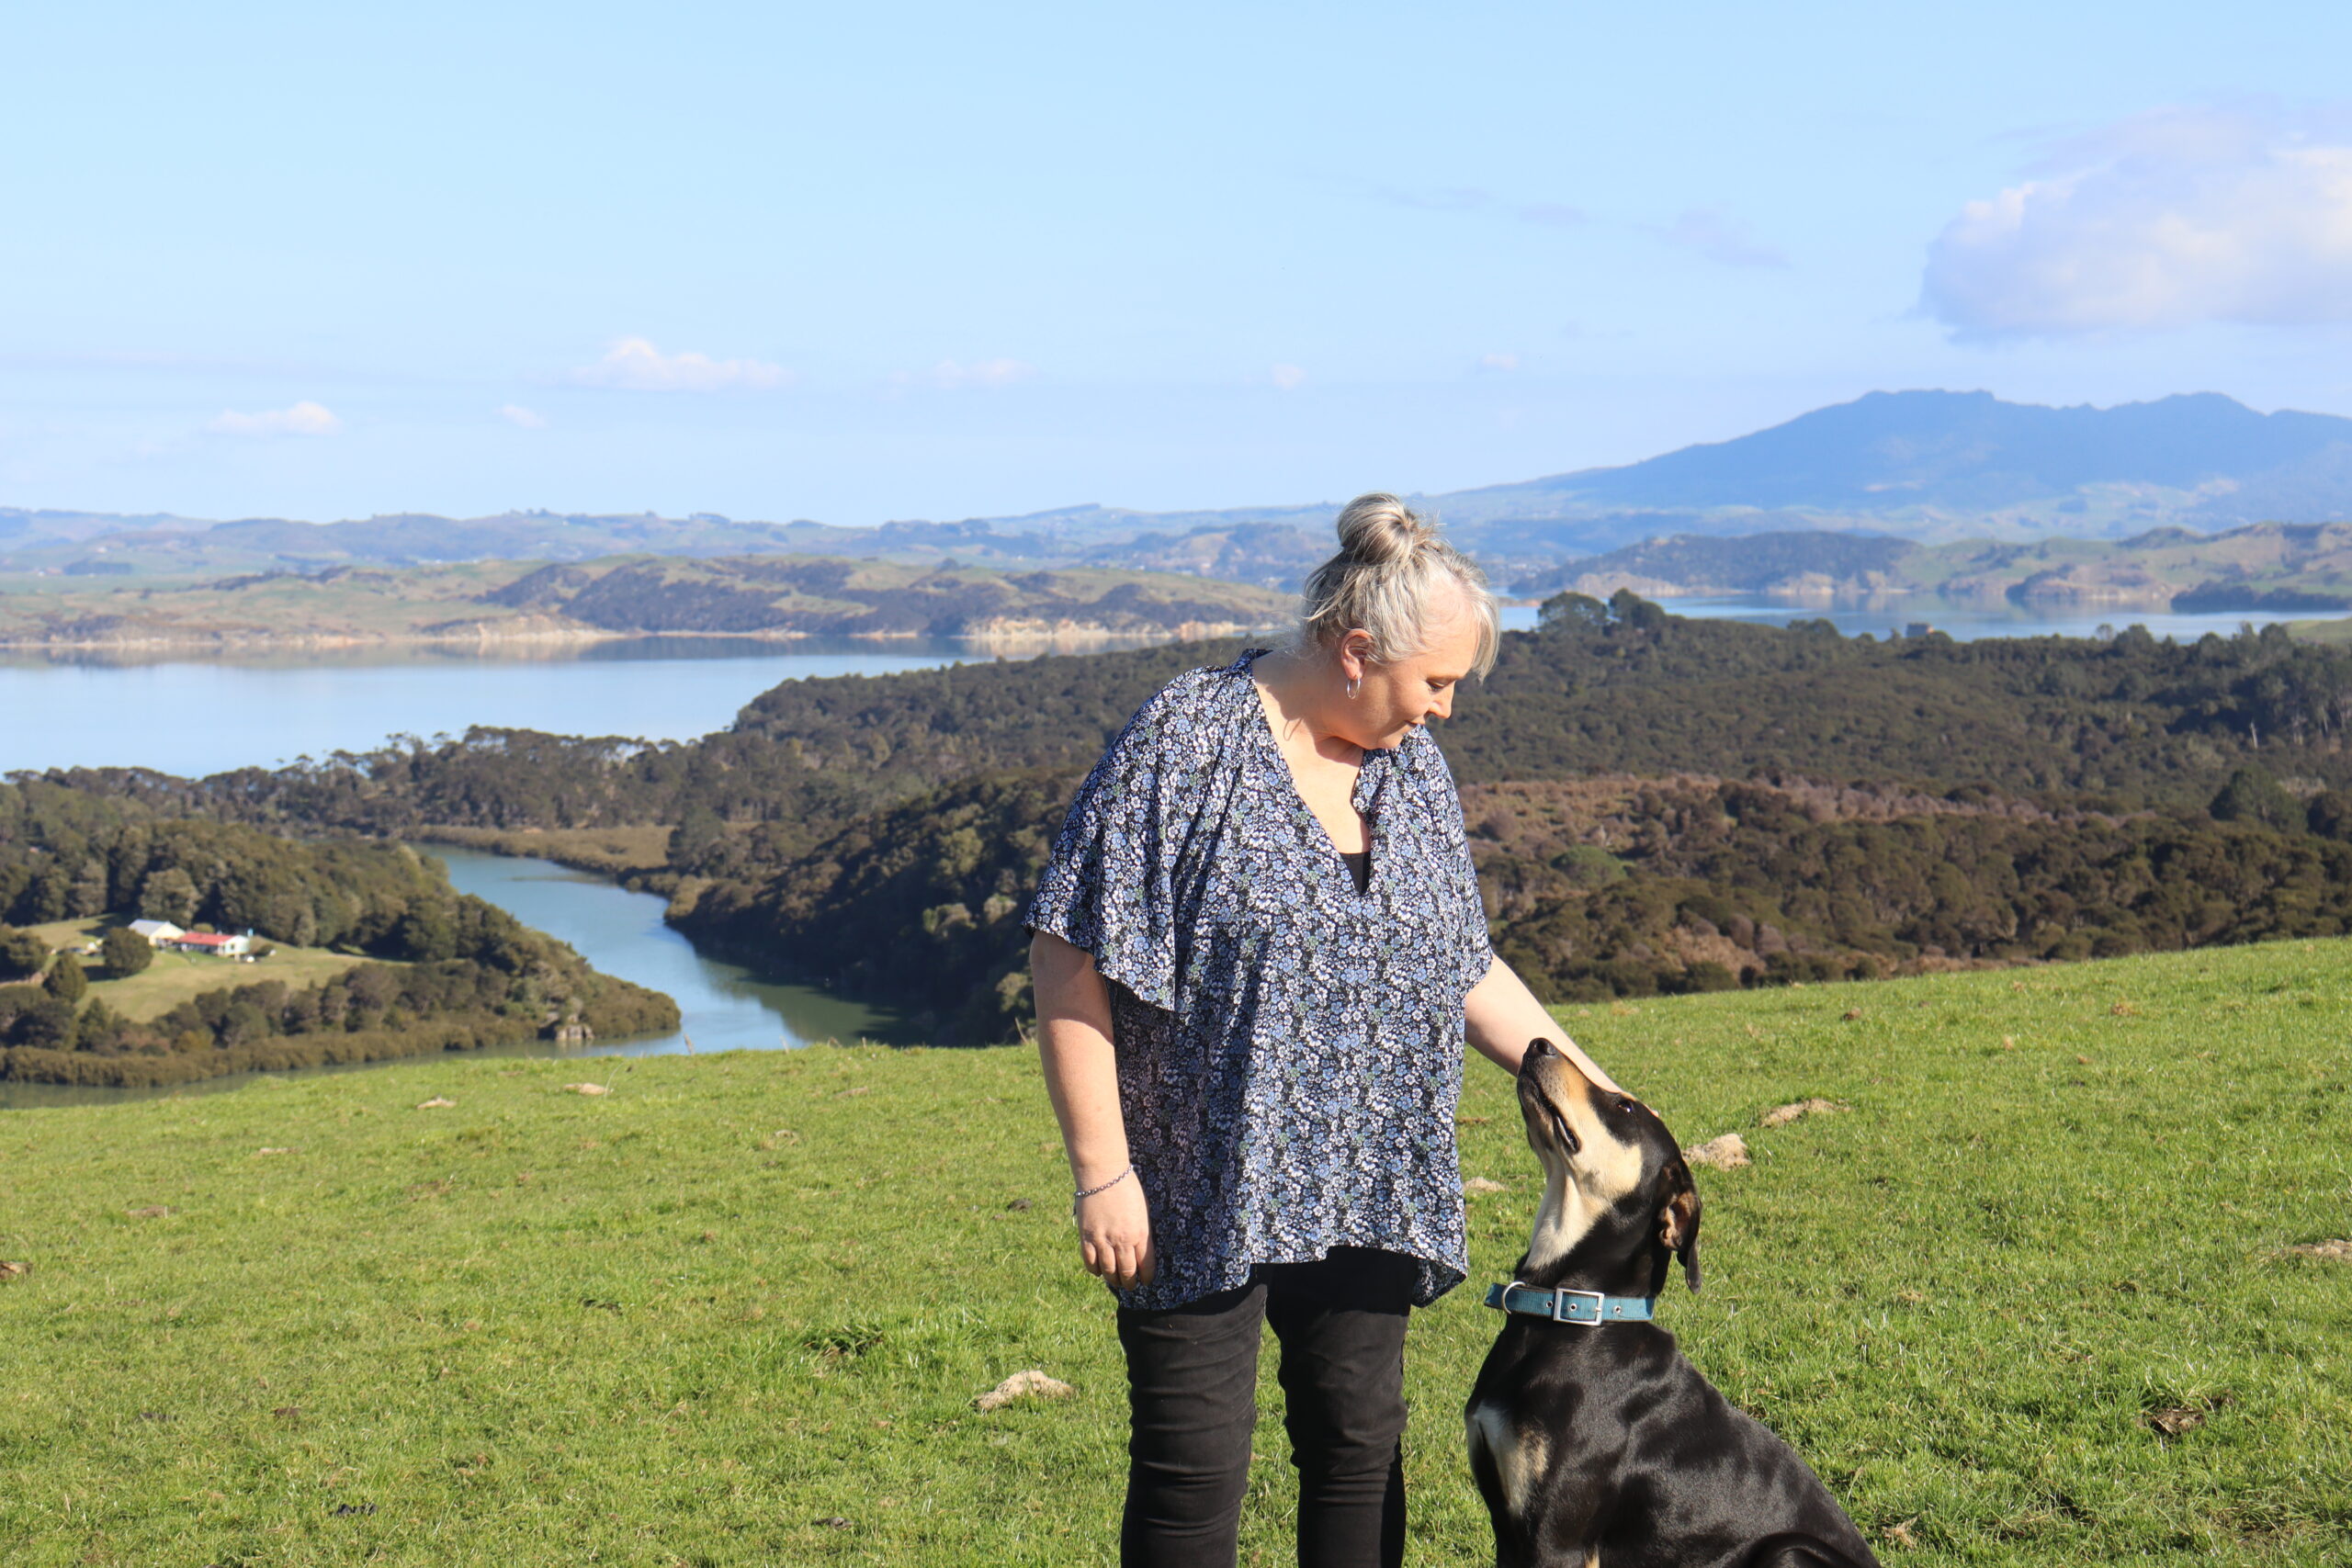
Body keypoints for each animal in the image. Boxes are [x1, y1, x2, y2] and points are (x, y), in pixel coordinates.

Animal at [1458, 1043, 1882, 1568]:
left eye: (1624, 1107)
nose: (1538, 1043)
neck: (1571, 1312)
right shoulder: (1507, 1525)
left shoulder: (1556, 1538)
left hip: (1788, 1551)